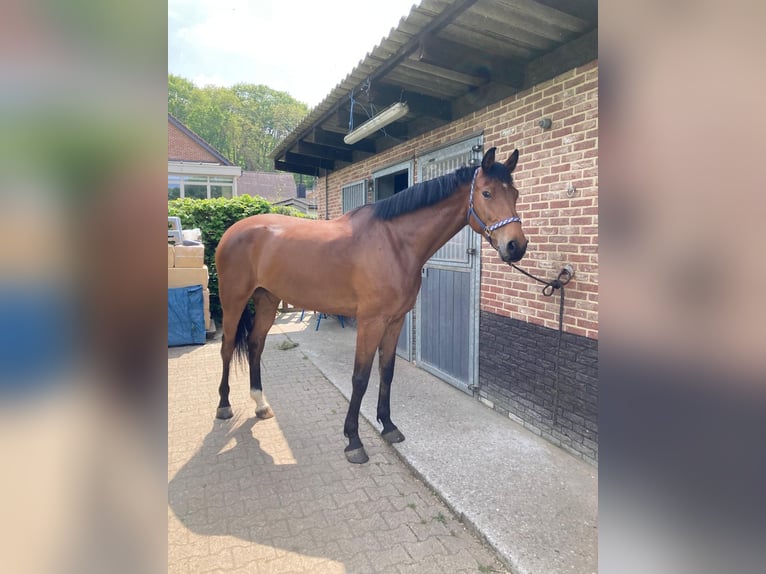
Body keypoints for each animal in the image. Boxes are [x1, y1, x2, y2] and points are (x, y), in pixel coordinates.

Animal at [216, 146, 528, 466]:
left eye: (515, 193)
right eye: (487, 193)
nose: (516, 246)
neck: (394, 243)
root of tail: (233, 231)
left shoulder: (395, 320)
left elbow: (386, 372)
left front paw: (388, 425)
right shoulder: (370, 322)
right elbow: (360, 377)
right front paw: (353, 440)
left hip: (267, 299)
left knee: (255, 344)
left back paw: (260, 404)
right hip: (234, 301)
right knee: (227, 347)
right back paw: (224, 405)